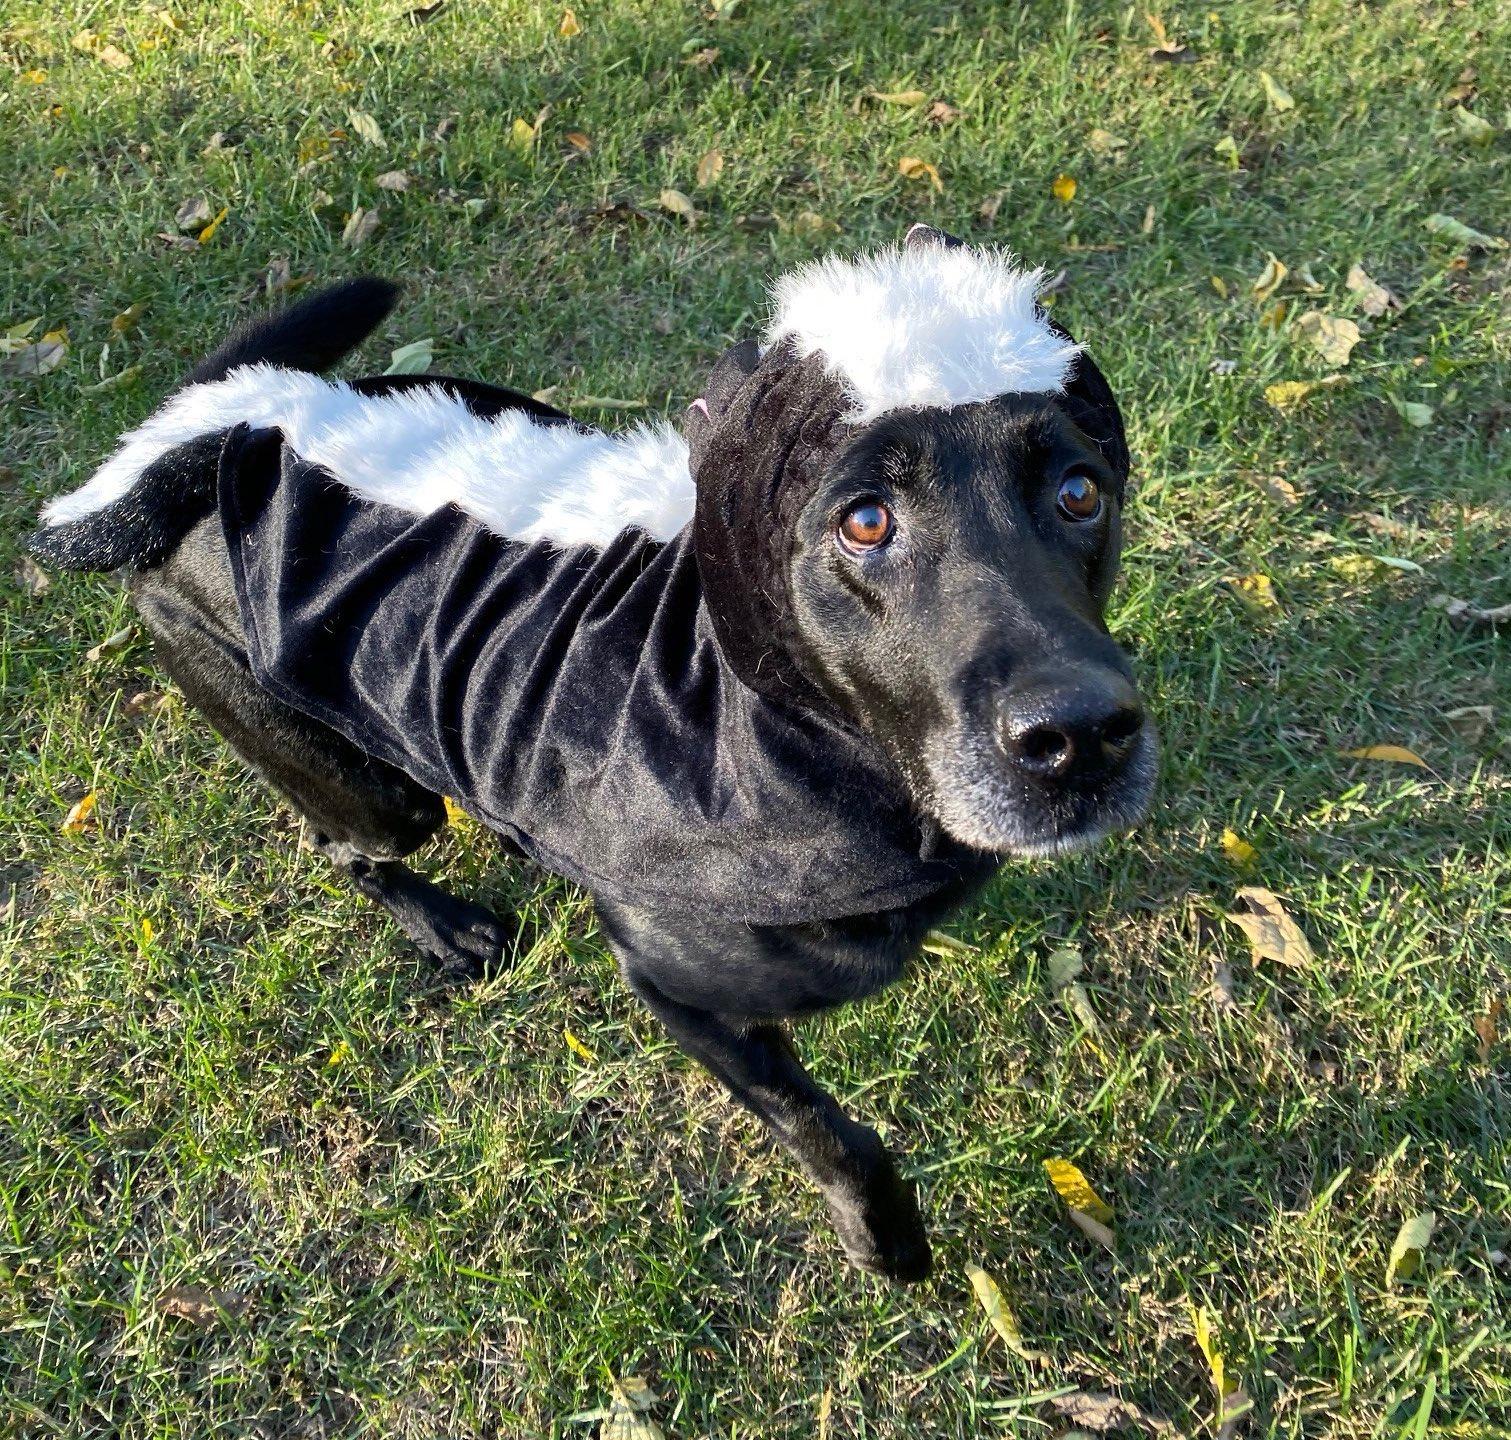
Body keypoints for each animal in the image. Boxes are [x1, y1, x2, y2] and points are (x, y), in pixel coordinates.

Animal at [35, 228, 1154, 1281]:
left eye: (1078, 492)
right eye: (866, 520)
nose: (1082, 734)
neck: (769, 724)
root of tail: (237, 424)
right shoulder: (678, 992)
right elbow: (828, 1131)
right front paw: (886, 1241)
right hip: (359, 781)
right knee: (346, 845)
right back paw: (447, 927)